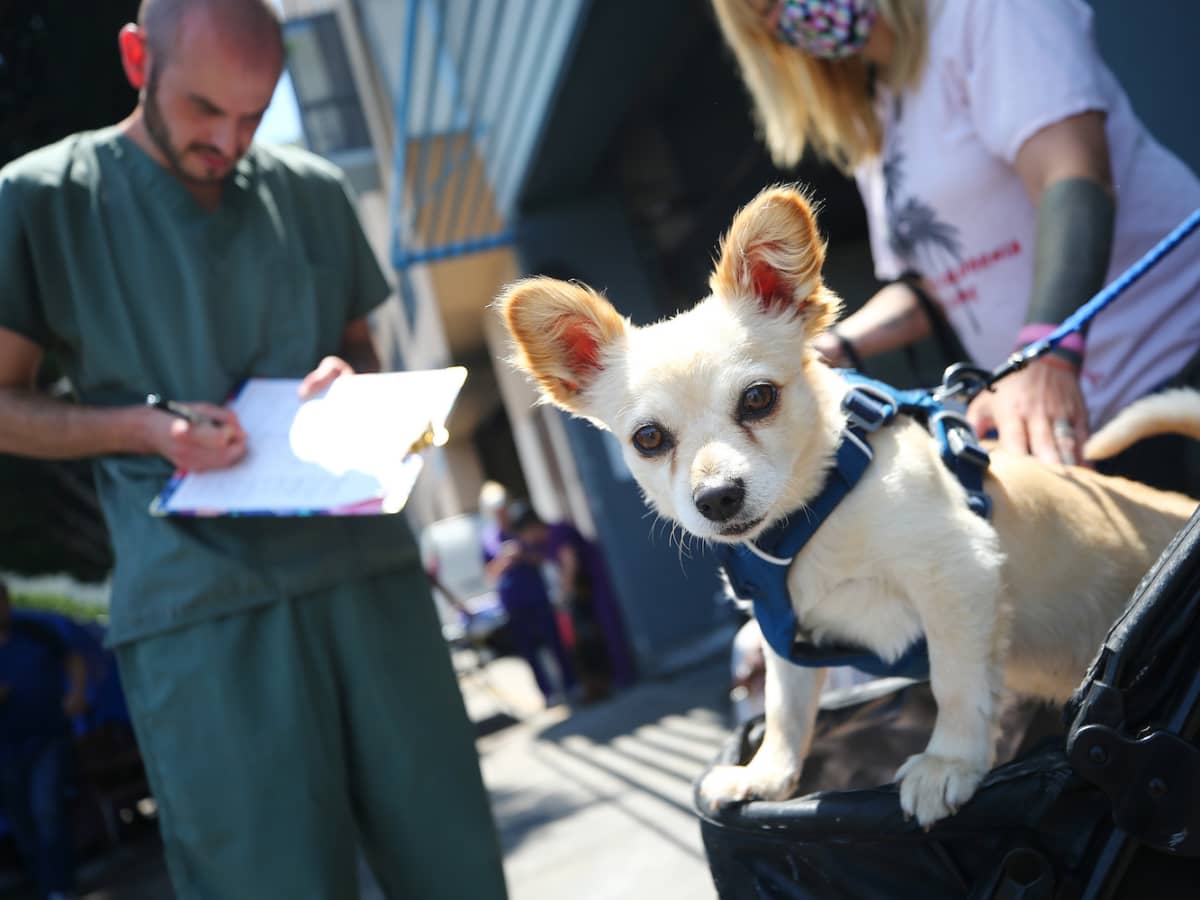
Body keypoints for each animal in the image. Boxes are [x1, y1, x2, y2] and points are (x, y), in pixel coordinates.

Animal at [496, 187, 1200, 830]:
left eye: (758, 399)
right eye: (648, 439)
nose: (717, 497)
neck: (807, 523)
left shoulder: (960, 576)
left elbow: (955, 682)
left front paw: (948, 763)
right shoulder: (783, 635)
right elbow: (784, 708)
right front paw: (767, 777)